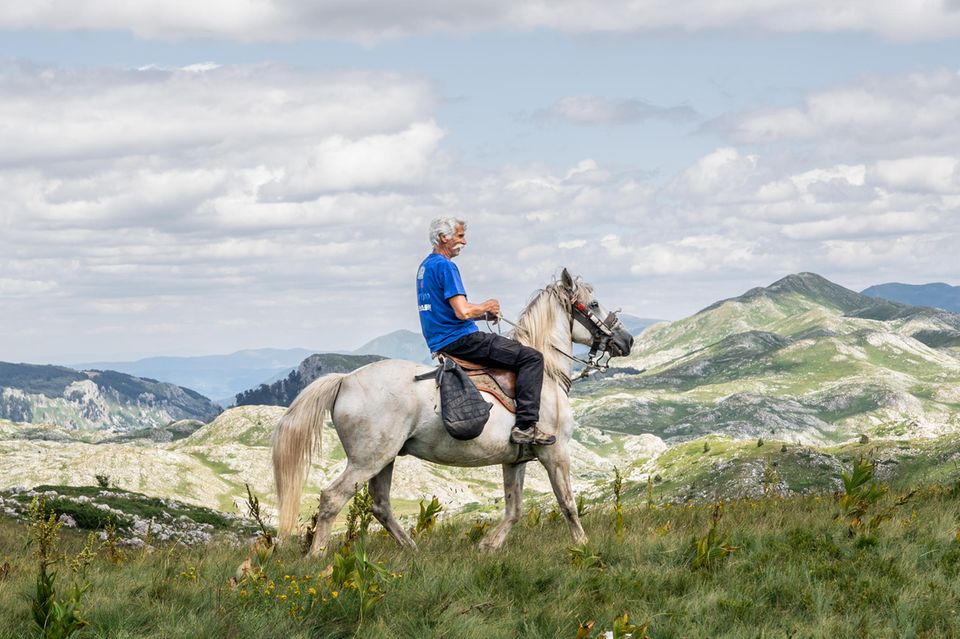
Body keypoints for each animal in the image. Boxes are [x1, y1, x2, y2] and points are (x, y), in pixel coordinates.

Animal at [272, 268, 632, 556]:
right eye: (593, 304)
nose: (626, 340)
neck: (549, 374)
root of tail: (345, 380)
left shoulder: (515, 460)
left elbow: (514, 508)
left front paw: (488, 546)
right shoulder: (555, 453)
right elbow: (567, 503)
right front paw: (583, 546)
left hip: (384, 459)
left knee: (380, 505)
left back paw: (412, 550)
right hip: (367, 460)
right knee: (332, 498)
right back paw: (316, 556)